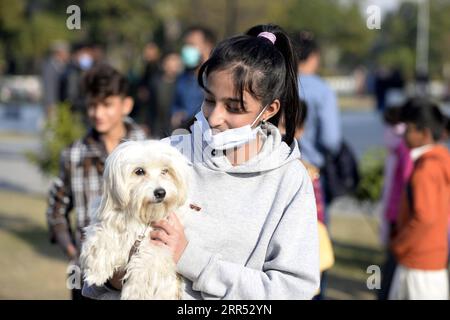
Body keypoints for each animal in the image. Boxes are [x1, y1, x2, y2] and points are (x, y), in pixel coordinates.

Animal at [80, 140, 192, 300]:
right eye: (139, 171)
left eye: (165, 171)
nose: (160, 192)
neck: (143, 216)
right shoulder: (112, 222)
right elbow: (102, 236)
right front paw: (96, 269)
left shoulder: (160, 244)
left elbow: (148, 260)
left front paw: (136, 291)